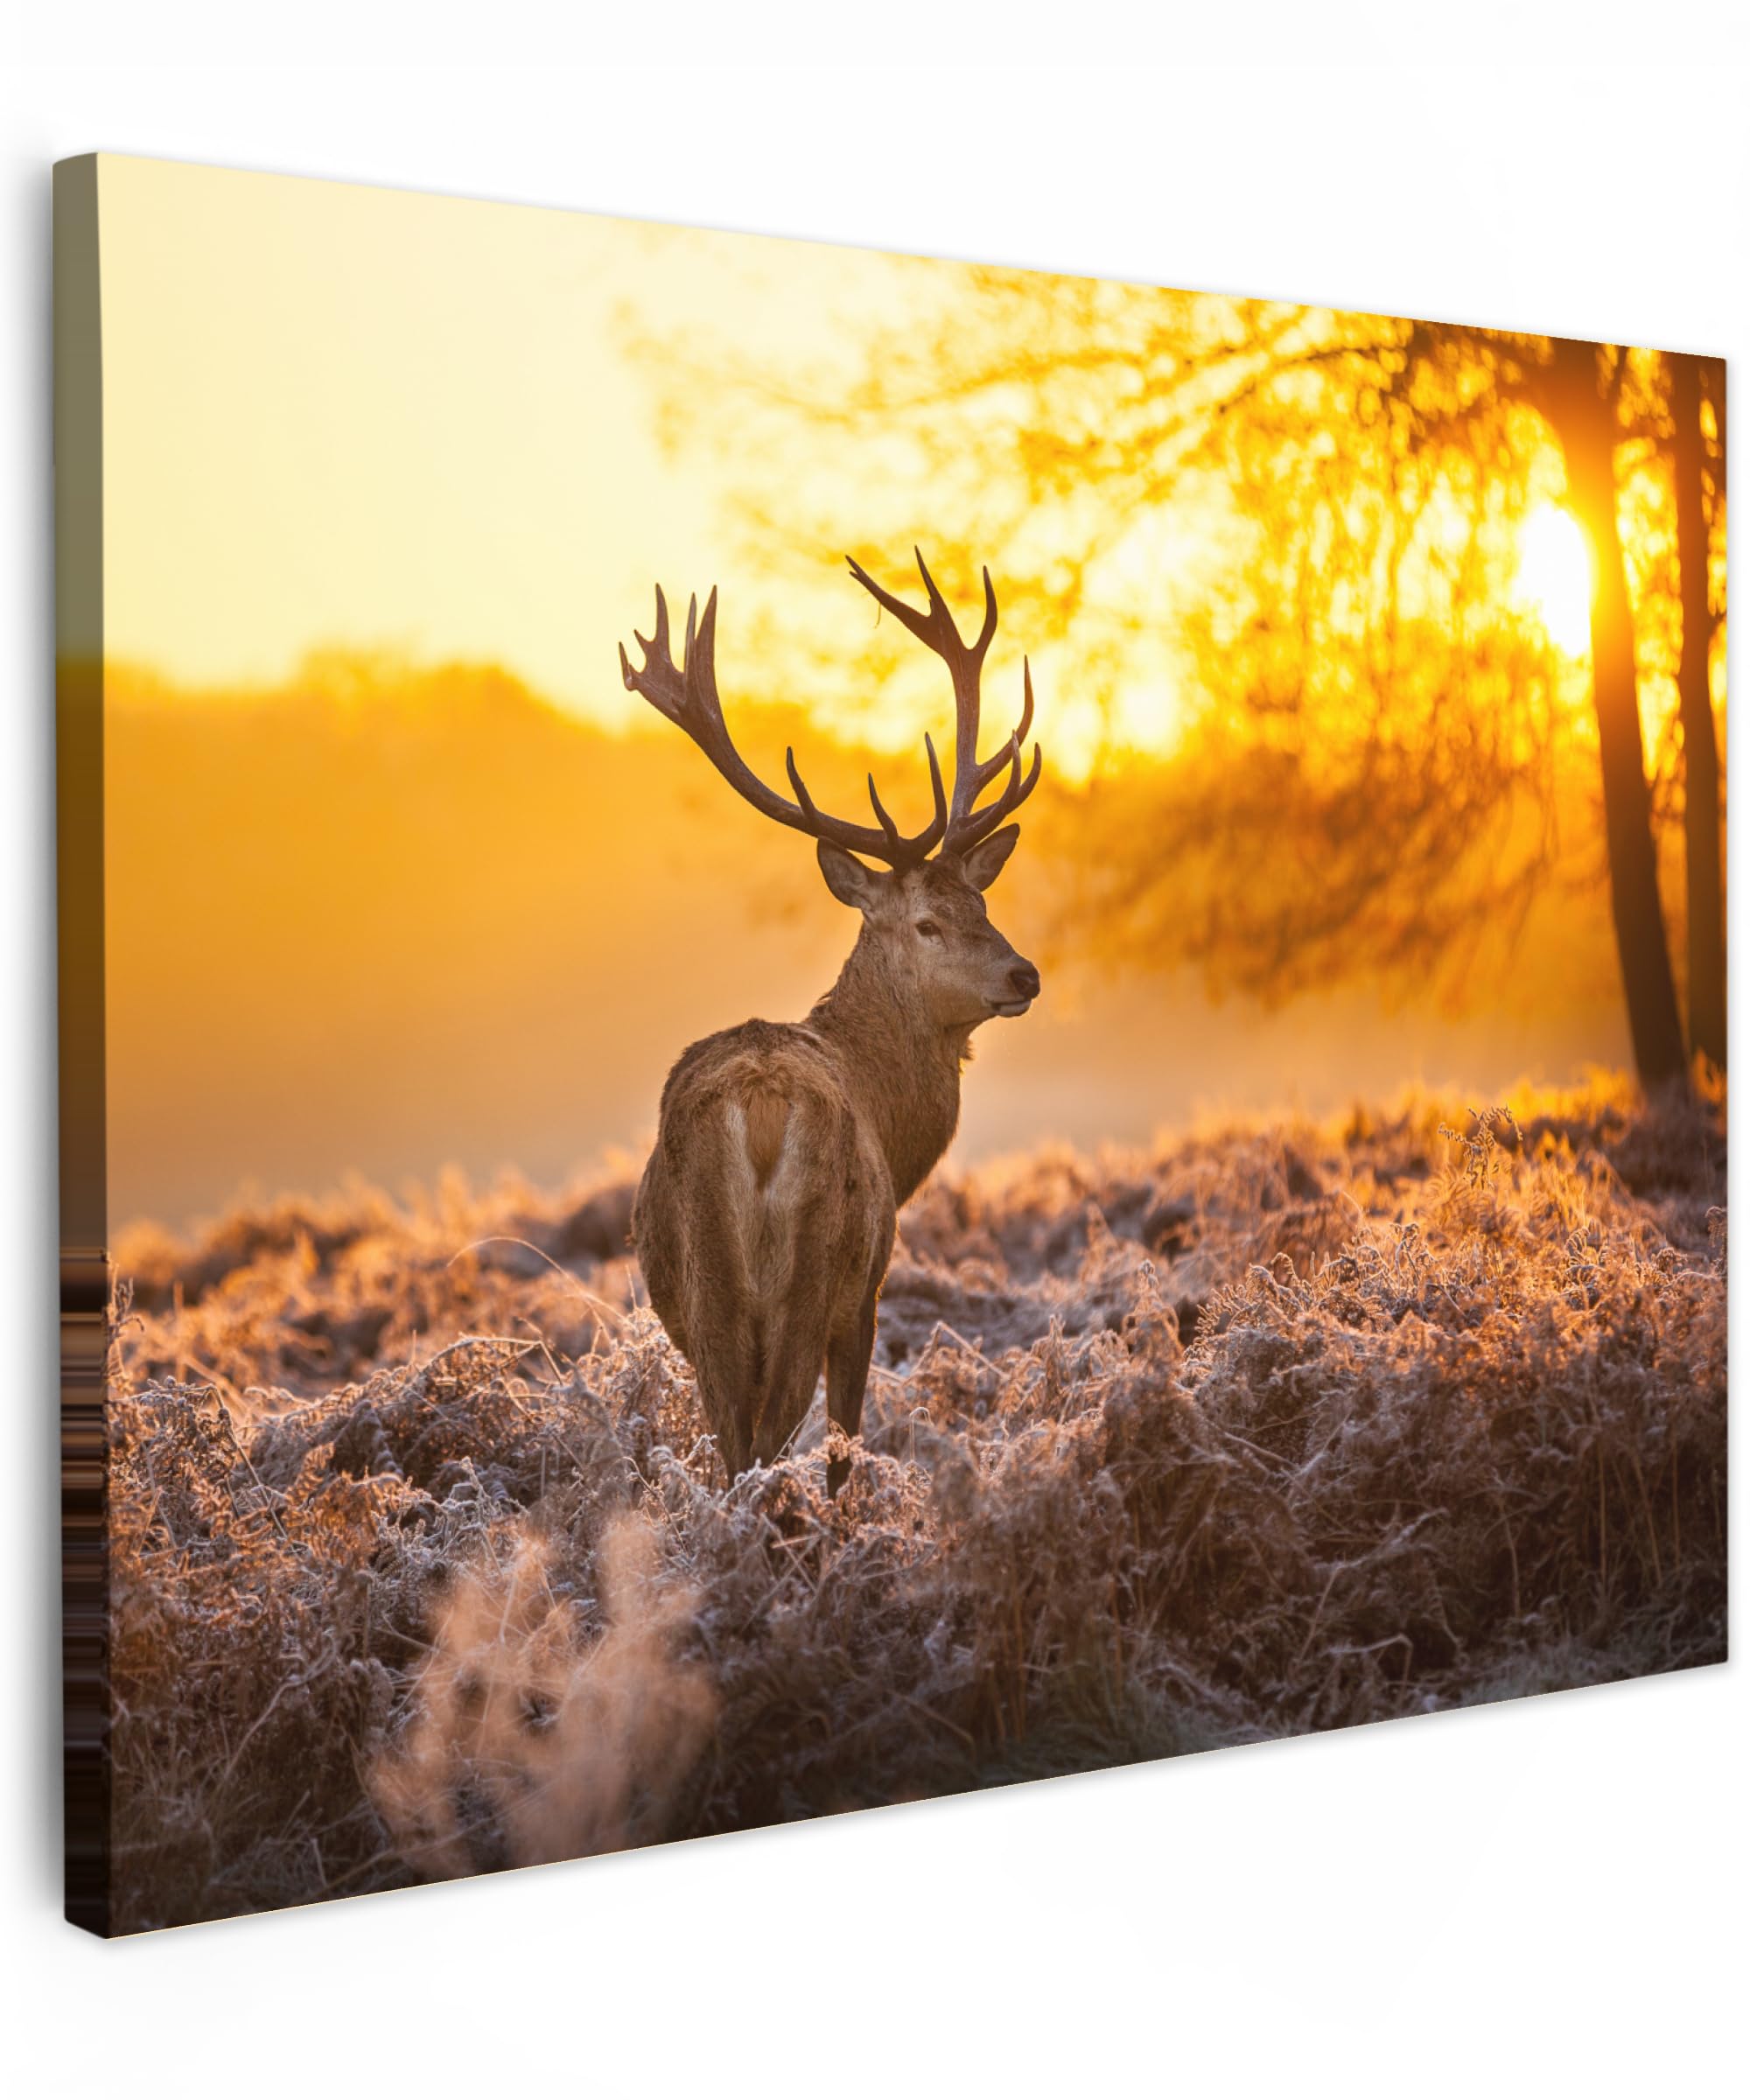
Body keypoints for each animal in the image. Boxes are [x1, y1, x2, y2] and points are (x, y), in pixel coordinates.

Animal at [619, 551, 1044, 1496]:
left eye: (982, 903)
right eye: (925, 922)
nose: (1024, 972)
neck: (893, 1119)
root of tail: (760, 1112)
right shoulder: (870, 1287)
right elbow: (847, 1442)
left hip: (705, 1288)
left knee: (732, 1446)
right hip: (811, 1275)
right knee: (771, 1441)